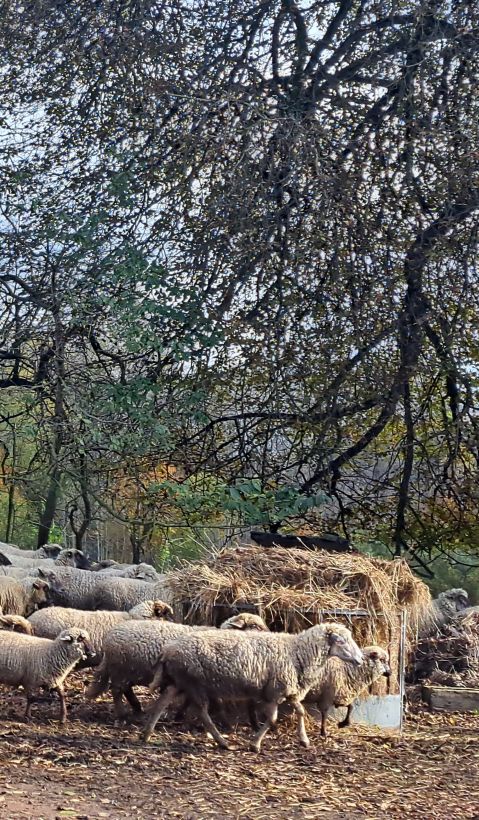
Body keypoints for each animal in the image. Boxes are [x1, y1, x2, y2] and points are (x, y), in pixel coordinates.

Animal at [86, 613, 269, 721]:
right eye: (255, 626)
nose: (270, 634)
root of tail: (109, 637)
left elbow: (189, 700)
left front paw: (179, 715)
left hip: (129, 671)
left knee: (125, 689)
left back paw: (137, 708)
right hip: (121, 670)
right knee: (116, 690)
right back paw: (122, 714)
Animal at [143, 622, 363, 751]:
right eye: (341, 641)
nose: (361, 659)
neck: (298, 653)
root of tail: (168, 650)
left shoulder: (288, 690)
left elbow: (300, 711)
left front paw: (304, 740)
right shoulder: (275, 691)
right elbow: (272, 718)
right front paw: (255, 744)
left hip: (180, 681)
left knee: (163, 701)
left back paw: (146, 734)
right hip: (194, 683)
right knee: (203, 713)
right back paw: (222, 742)